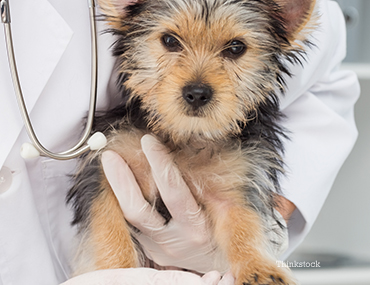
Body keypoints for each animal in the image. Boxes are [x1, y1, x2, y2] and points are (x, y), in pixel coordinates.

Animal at [66, 1, 316, 282]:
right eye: (170, 41)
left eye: (236, 47)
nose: (197, 93)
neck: (186, 136)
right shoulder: (105, 167)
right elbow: (108, 228)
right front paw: (118, 273)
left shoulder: (238, 181)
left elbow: (245, 224)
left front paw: (259, 269)